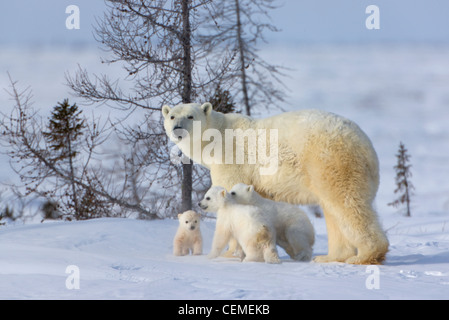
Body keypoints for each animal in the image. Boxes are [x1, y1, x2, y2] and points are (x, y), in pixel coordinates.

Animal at [162, 102, 388, 264]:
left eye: (190, 116)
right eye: (172, 116)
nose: (177, 129)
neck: (216, 136)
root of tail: (366, 145)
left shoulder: (231, 160)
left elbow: (232, 202)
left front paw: (230, 253)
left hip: (330, 160)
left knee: (346, 203)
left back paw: (365, 255)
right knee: (333, 210)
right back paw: (330, 257)